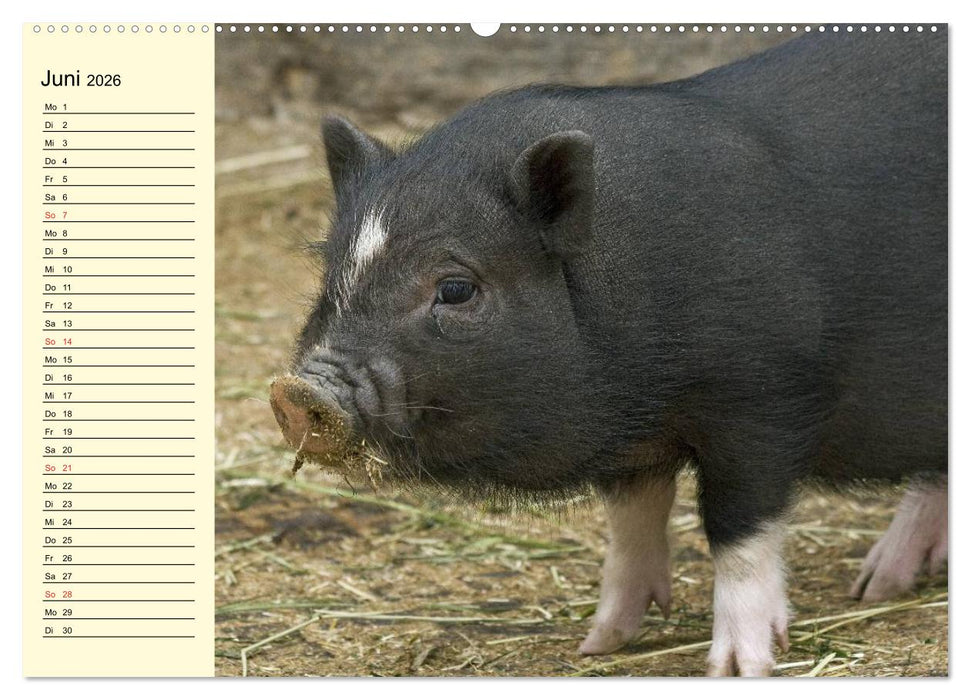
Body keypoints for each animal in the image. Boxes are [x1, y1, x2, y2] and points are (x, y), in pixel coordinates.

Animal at [272, 29, 947, 676]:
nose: (297, 391)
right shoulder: (633, 441)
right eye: (332, 272)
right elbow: (630, 522)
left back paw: (870, 588)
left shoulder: (765, 399)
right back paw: (880, 585)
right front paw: (598, 646)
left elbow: (738, 531)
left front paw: (738, 669)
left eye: (456, 288)